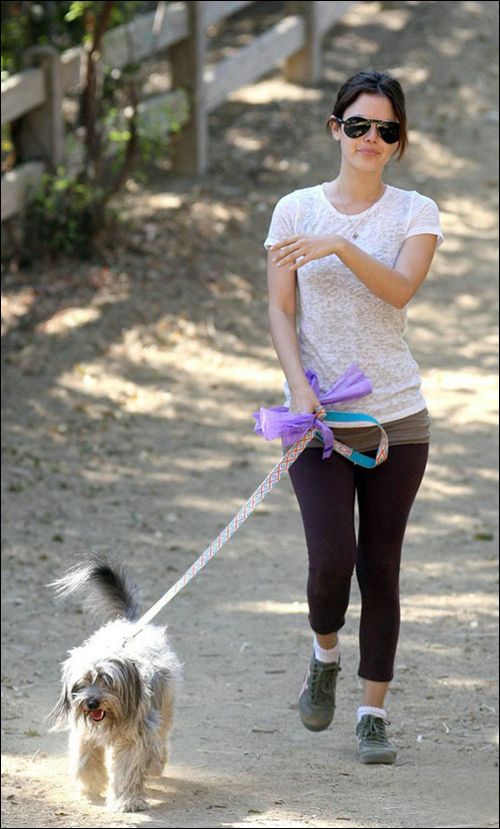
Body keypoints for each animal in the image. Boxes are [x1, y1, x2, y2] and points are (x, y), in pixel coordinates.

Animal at [47, 556, 181, 812]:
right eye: (81, 684)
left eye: (107, 681)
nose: (92, 703)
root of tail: (129, 623)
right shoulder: (85, 734)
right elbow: (85, 761)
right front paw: (90, 789)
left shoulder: (135, 737)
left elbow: (129, 768)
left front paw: (127, 800)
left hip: (164, 707)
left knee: (160, 740)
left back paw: (155, 763)